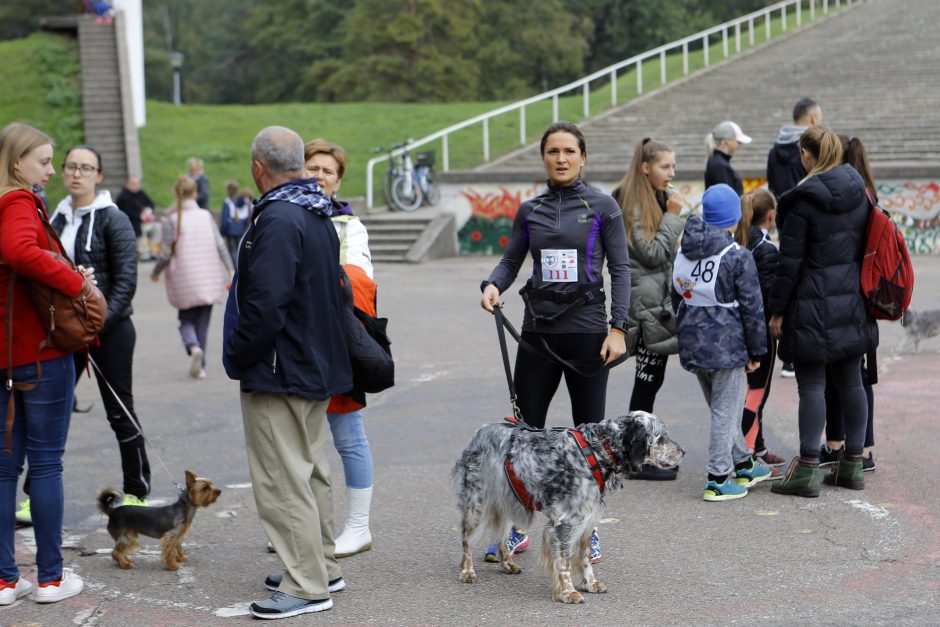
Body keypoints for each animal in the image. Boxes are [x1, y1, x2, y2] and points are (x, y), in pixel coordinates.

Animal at [456, 412, 684, 604]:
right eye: (661, 438)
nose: (683, 452)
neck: (597, 450)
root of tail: (479, 431)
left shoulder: (586, 520)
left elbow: (585, 558)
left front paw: (590, 583)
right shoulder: (564, 522)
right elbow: (564, 562)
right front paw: (568, 591)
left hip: (507, 503)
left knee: (501, 537)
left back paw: (507, 563)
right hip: (476, 504)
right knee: (466, 540)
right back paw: (467, 571)